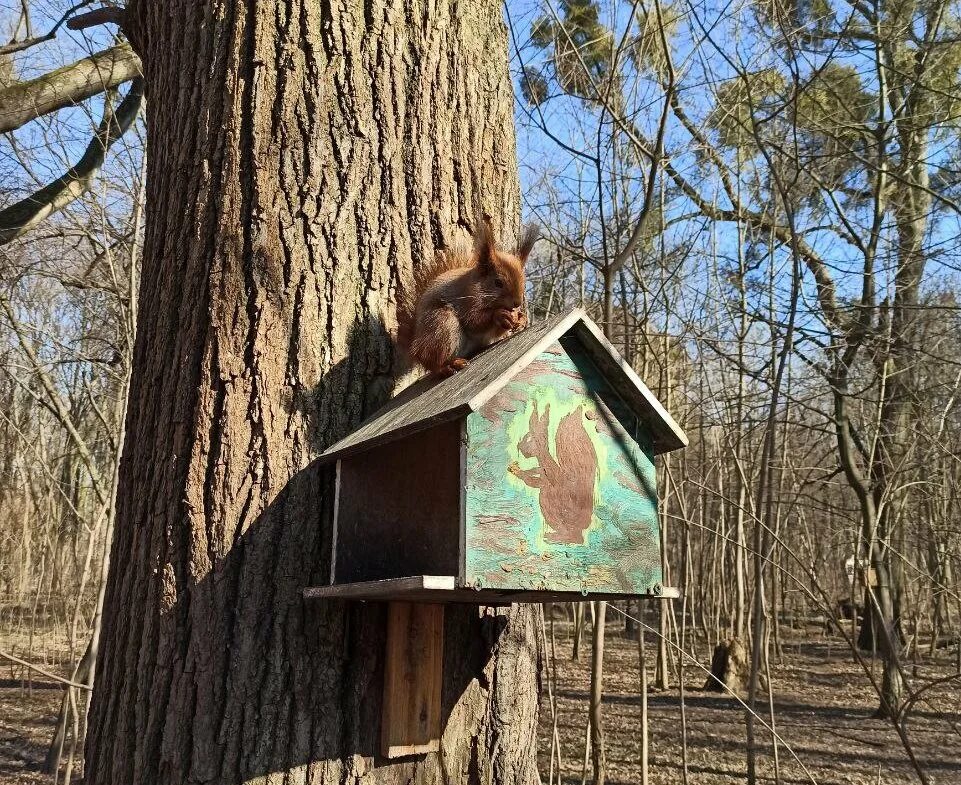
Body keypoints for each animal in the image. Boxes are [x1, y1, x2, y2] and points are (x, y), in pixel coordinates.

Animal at [394, 213, 536, 376]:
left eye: (523, 282)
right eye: (498, 282)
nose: (517, 303)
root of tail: (415, 347)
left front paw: (521, 319)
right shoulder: (466, 301)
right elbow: (474, 321)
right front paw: (500, 315)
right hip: (442, 324)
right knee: (435, 363)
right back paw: (449, 366)